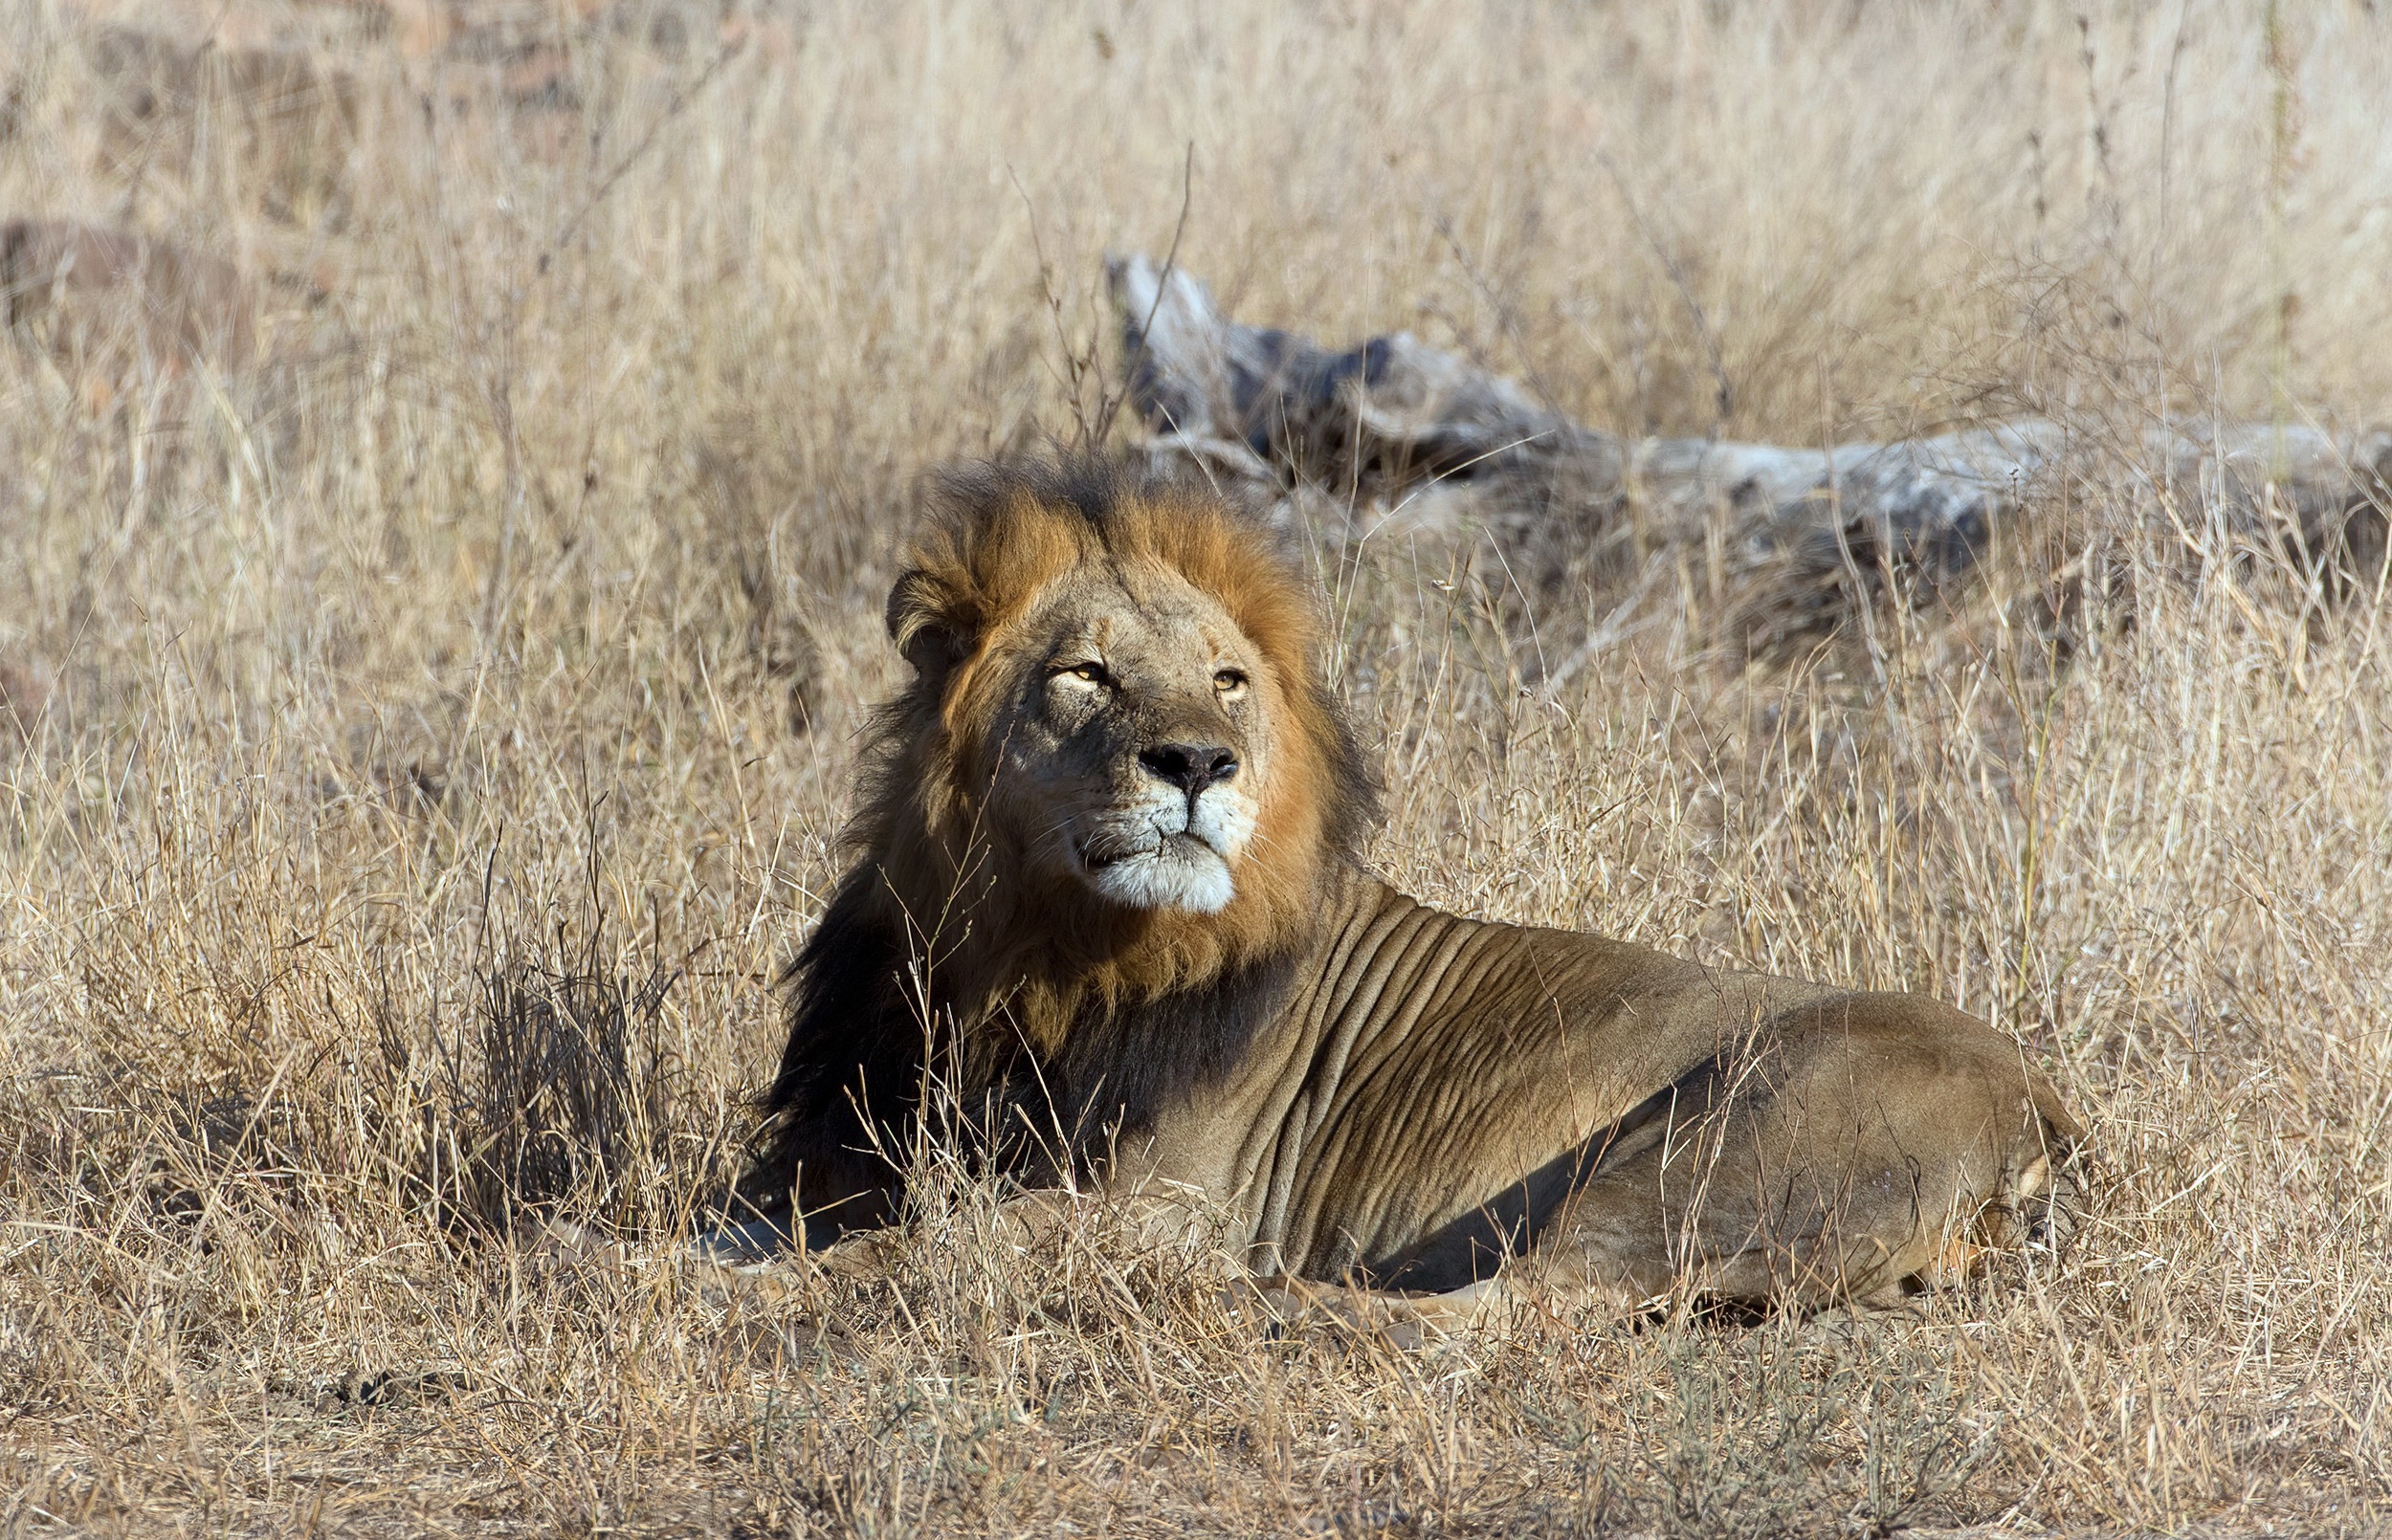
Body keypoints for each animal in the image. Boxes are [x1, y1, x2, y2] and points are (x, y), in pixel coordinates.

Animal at [722, 459, 2076, 1339]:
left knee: (1507, 1313)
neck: (1031, 957)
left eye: (1226, 681)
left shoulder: (1165, 1204)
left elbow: (939, 1239)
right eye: (1086, 673)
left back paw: (1265, 1302)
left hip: (1715, 1150)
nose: (1199, 763)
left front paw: (738, 1285)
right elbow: (769, 1219)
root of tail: (2045, 1104)